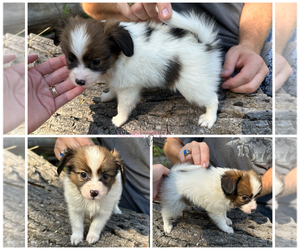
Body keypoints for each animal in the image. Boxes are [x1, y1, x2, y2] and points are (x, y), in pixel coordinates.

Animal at [58, 9, 221, 128]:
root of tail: (204, 44)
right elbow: (113, 89)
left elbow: (123, 106)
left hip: (192, 85)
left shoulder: (129, 88)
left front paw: (118, 120)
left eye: (96, 61)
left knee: (212, 99)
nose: (79, 81)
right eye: (70, 59)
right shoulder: (118, 80)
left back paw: (209, 118)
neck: (118, 58)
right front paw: (108, 96)